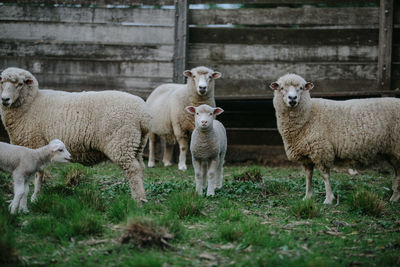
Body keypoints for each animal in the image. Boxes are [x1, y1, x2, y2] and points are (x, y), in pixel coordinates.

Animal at [0, 67, 151, 203]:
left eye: (20, 84)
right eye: (2, 82)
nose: (4, 99)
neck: (31, 104)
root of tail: (143, 114)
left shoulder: (35, 143)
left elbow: (38, 174)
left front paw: (35, 197)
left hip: (121, 142)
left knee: (133, 170)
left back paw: (138, 200)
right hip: (136, 144)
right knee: (140, 168)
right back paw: (142, 196)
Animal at [268, 73, 400, 205]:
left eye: (301, 88)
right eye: (281, 88)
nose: (293, 98)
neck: (308, 115)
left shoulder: (322, 150)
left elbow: (325, 176)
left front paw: (329, 199)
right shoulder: (306, 155)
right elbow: (308, 176)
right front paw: (308, 196)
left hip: (396, 148)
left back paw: (394, 198)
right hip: (392, 151)